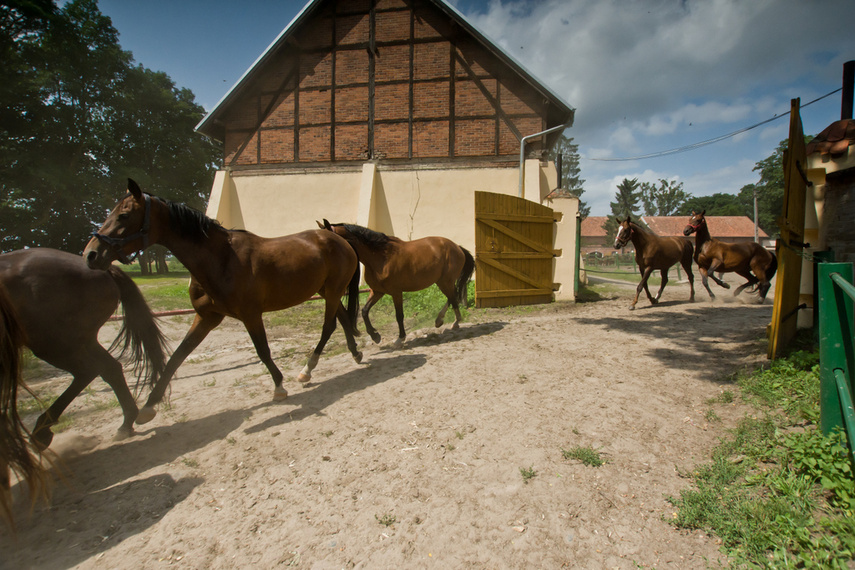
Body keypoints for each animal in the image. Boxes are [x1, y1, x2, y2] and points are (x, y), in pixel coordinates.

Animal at [86, 180, 364, 424]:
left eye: (123, 216)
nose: (91, 254)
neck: (221, 259)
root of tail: (340, 240)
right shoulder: (206, 317)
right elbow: (177, 356)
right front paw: (148, 407)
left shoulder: (251, 315)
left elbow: (262, 350)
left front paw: (279, 386)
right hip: (327, 291)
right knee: (341, 317)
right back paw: (354, 353)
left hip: (331, 292)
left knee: (329, 326)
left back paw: (308, 368)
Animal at [318, 220, 474, 346]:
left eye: (329, 242)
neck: (380, 256)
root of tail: (458, 247)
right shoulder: (377, 291)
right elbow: (364, 311)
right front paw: (375, 336)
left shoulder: (396, 292)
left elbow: (399, 316)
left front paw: (400, 339)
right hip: (442, 281)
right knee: (452, 296)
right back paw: (441, 320)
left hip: (445, 281)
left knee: (453, 297)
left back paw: (455, 322)